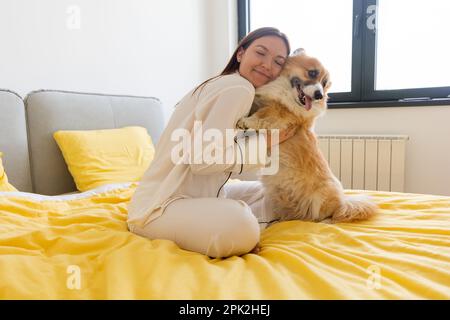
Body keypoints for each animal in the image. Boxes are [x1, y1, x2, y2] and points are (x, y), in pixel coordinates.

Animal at [237, 49, 378, 222]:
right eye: (312, 73)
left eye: (324, 84)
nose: (319, 95)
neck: (285, 92)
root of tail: (343, 202)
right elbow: (256, 105)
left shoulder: (280, 113)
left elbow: (263, 114)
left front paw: (246, 121)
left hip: (322, 198)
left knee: (326, 214)